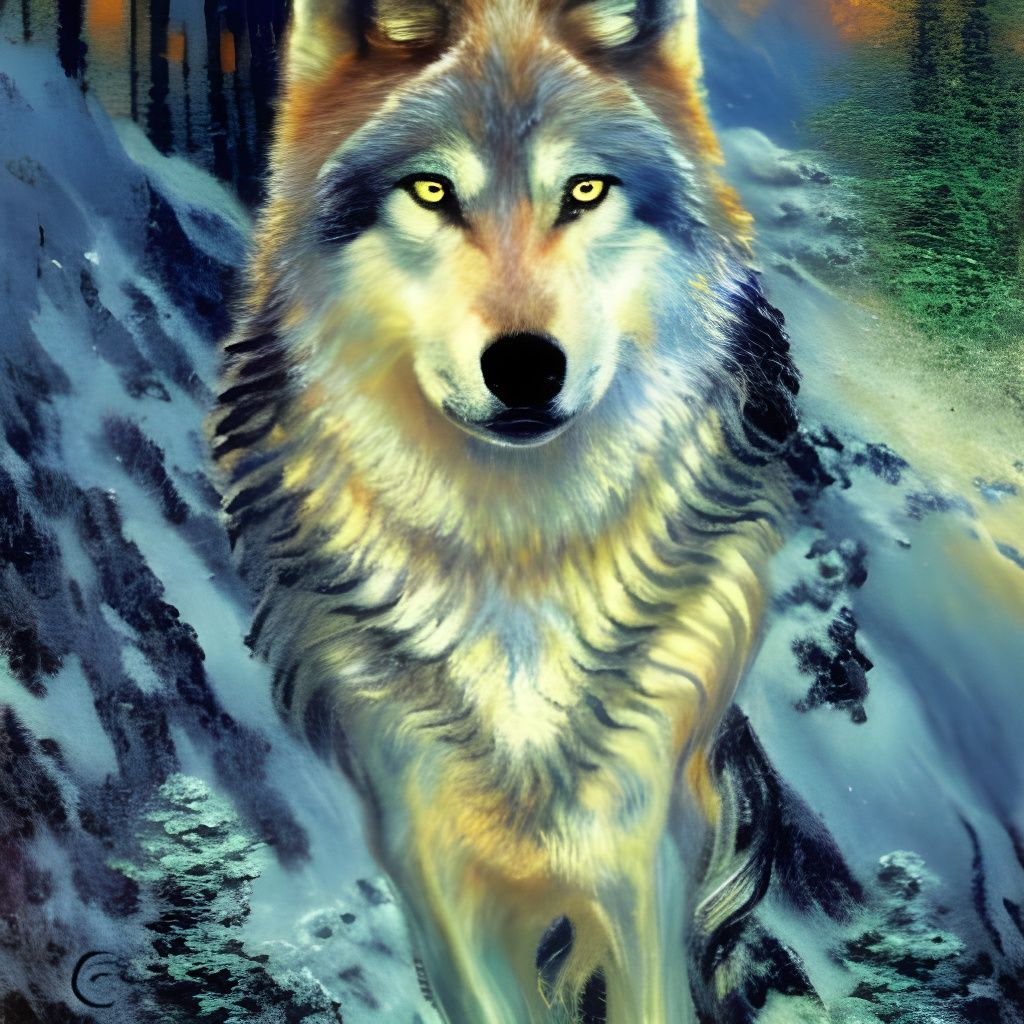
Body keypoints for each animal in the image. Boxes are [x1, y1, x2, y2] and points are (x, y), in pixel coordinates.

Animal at [212, 1, 801, 1020]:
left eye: (586, 190)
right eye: (432, 190)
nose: (526, 367)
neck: (517, 552)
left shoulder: (641, 848)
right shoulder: (430, 863)